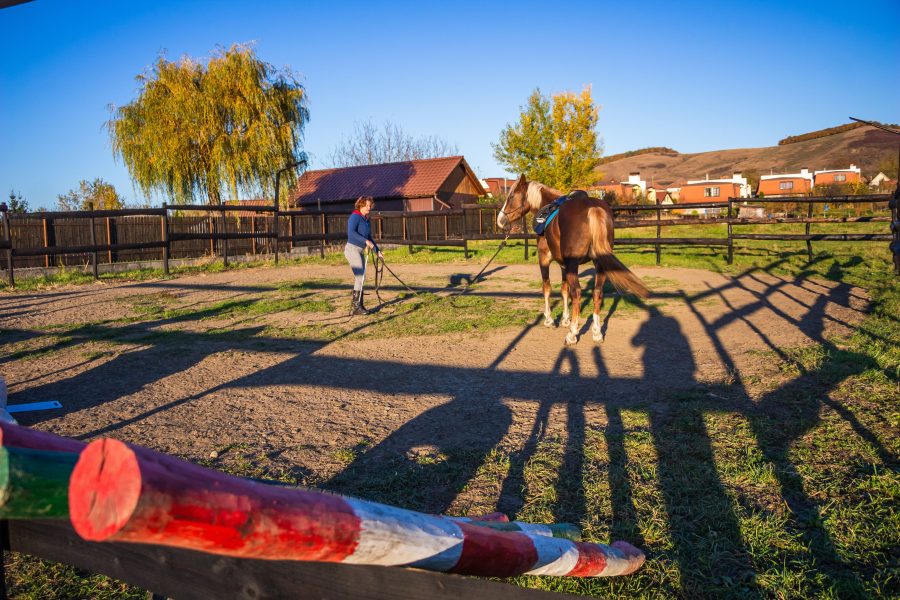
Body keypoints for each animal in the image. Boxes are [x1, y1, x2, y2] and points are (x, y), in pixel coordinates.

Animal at [496, 175, 652, 342]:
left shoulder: (544, 259)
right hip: (599, 264)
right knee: (597, 292)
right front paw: (566, 319)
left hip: (573, 264)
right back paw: (596, 332)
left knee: (577, 292)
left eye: (511, 196)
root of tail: (592, 208)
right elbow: (565, 290)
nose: (500, 220)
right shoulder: (564, 265)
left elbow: (547, 288)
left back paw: (572, 334)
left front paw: (550, 320)